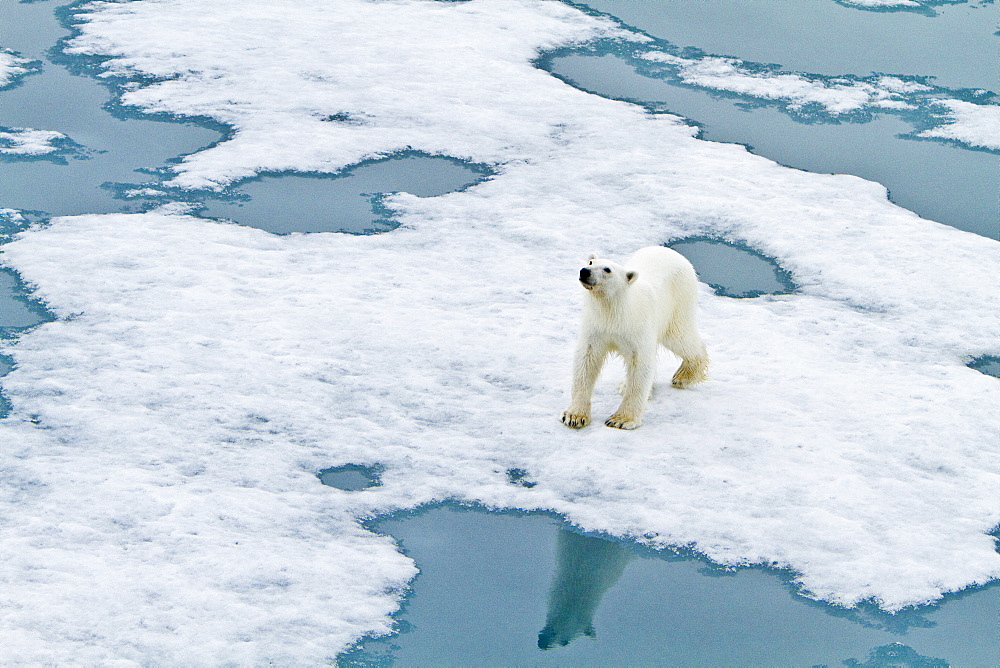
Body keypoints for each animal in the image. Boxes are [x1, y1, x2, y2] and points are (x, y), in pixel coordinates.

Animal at [556, 248, 712, 430]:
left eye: (607, 269)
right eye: (590, 262)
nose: (584, 271)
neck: (616, 311)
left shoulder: (637, 327)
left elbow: (640, 364)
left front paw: (621, 419)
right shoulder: (596, 326)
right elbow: (586, 361)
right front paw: (574, 416)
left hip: (678, 301)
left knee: (680, 338)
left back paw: (684, 376)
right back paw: (627, 385)